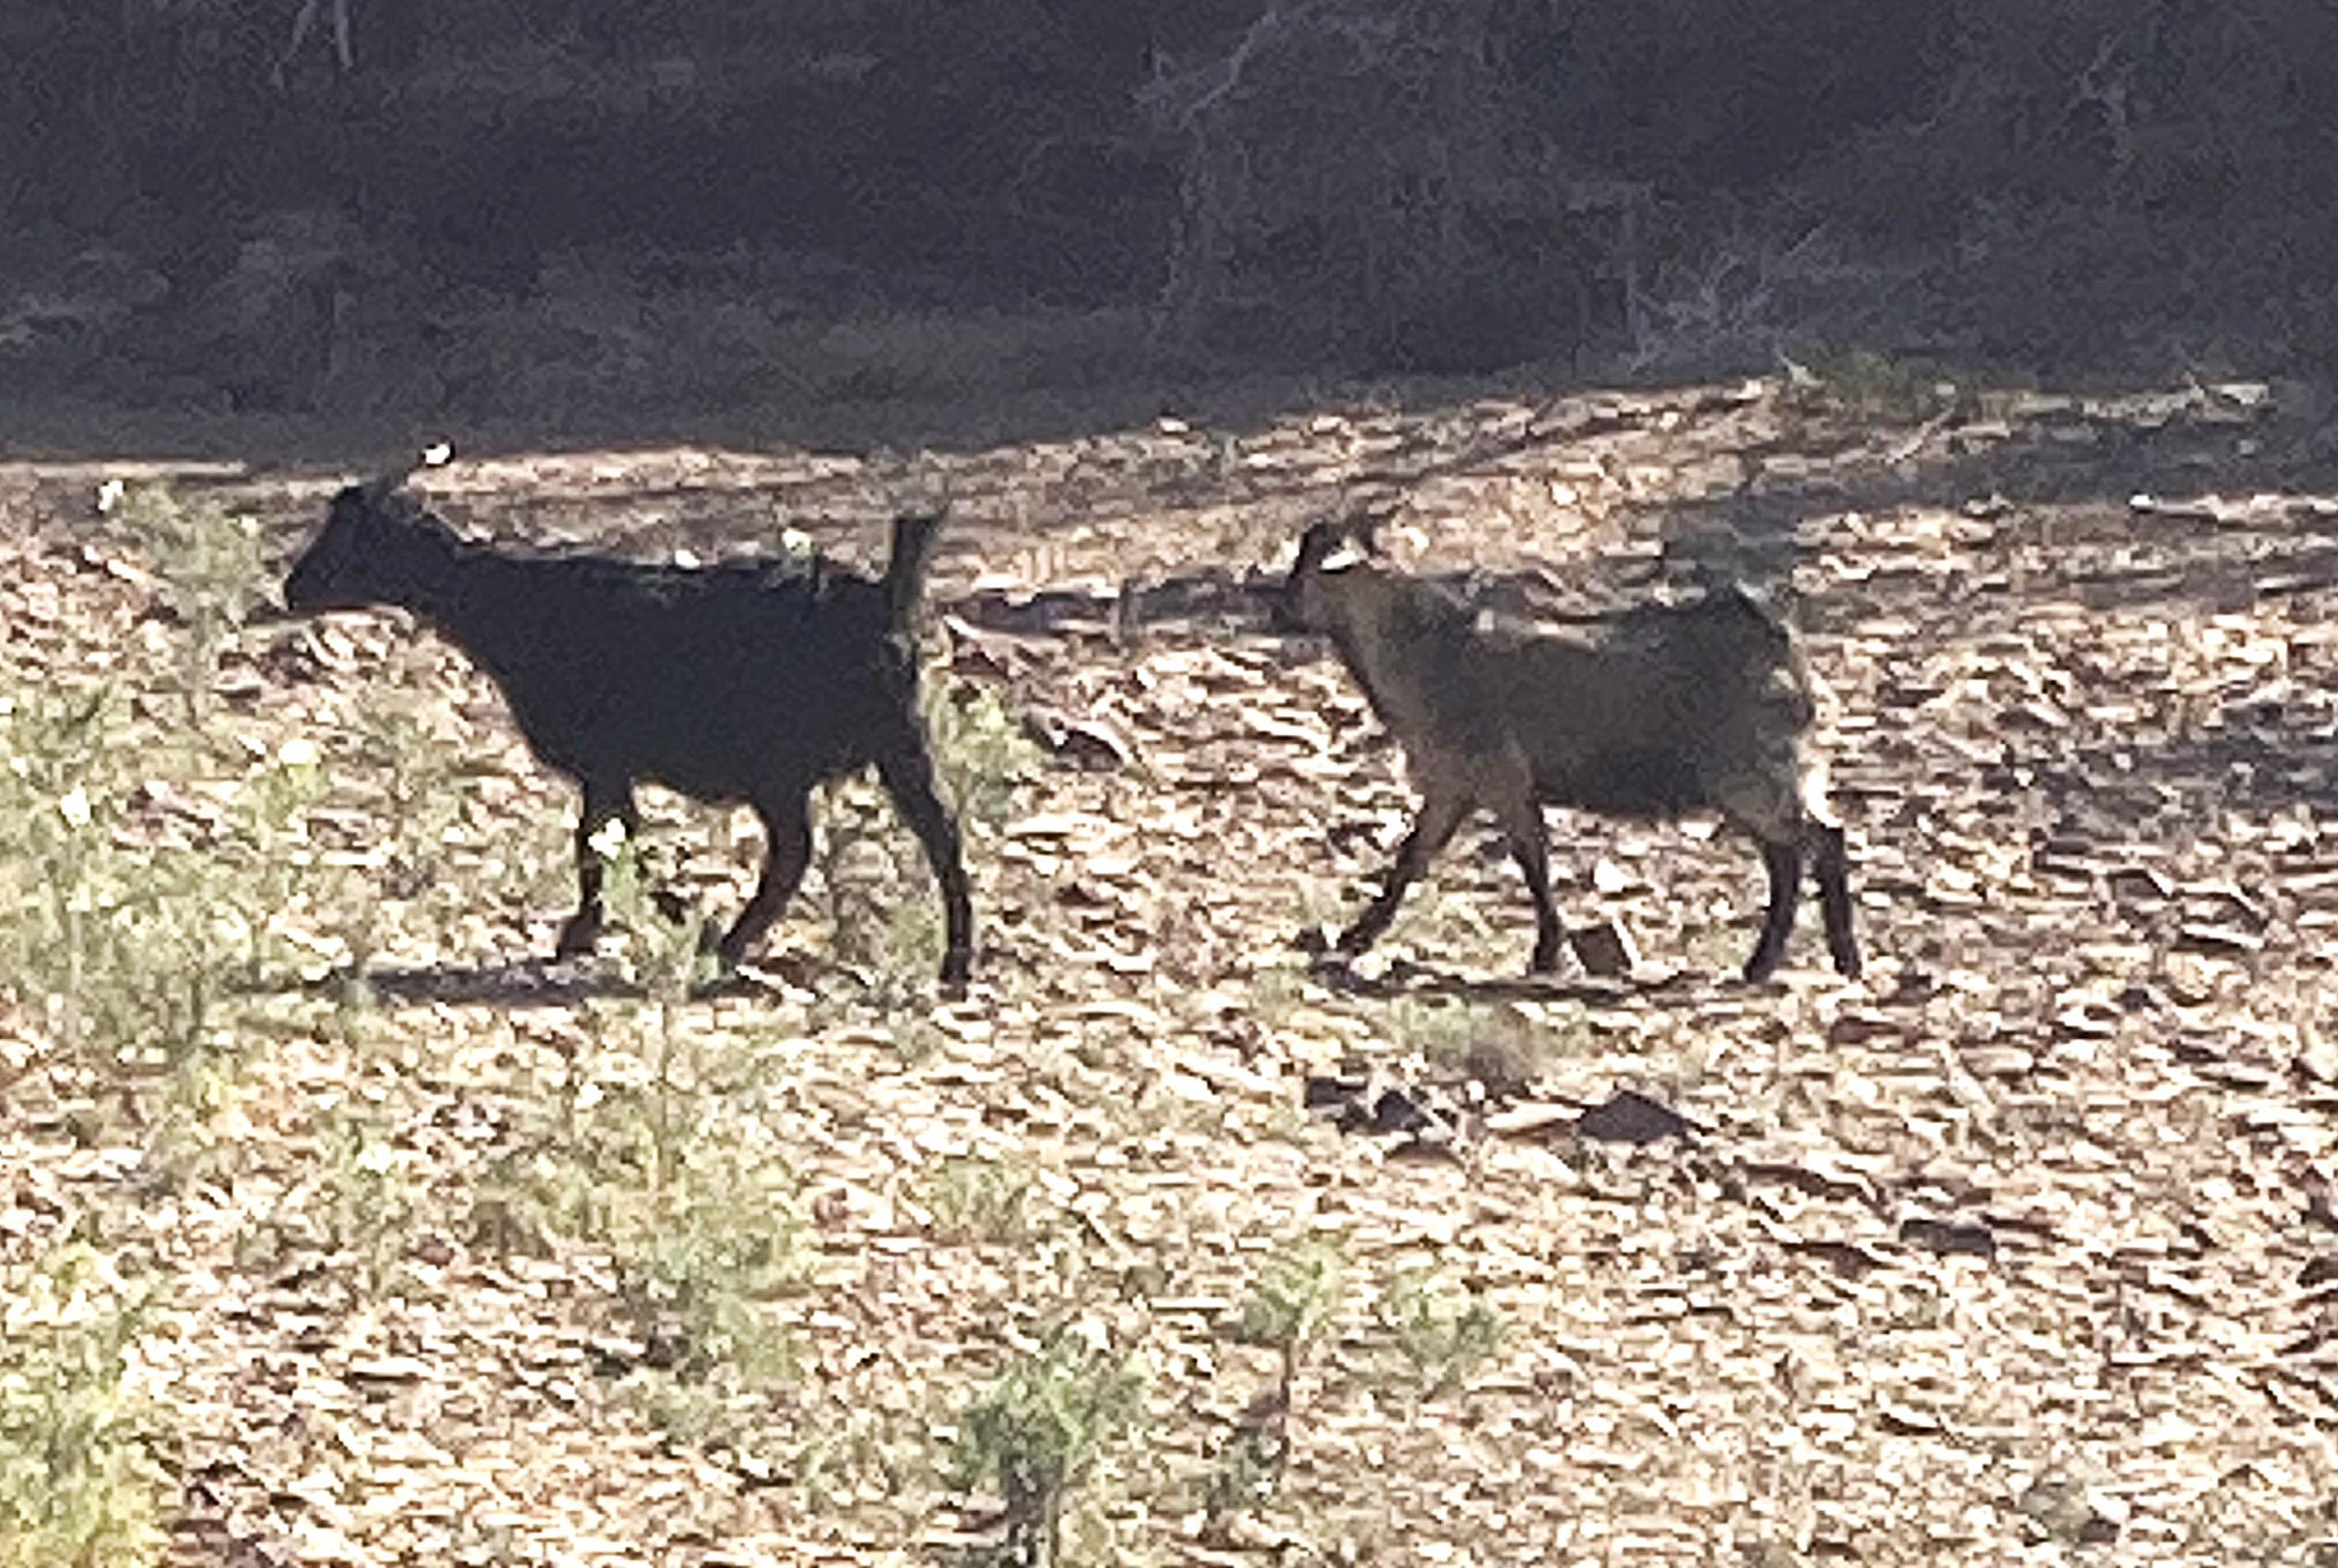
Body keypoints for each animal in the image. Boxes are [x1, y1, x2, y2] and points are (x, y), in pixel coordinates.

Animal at [282, 476, 974, 991]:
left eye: (351, 537)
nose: (291, 589)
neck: (509, 605)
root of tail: (885, 596)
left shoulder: (602, 762)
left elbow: (599, 845)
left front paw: (612, 928)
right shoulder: (608, 768)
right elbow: (611, 842)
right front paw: (628, 922)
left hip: (781, 763)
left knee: (799, 852)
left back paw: (725, 948)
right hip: (897, 743)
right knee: (937, 832)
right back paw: (954, 964)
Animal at [1281, 516, 1860, 984]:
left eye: (1308, 569)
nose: (1276, 609)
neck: (1420, 650)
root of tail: (1778, 642)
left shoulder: (1497, 779)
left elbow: (1530, 861)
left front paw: (1546, 954)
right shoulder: (1454, 786)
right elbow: (1414, 856)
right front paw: (1357, 935)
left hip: (1750, 773)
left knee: (1819, 840)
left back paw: (1832, 960)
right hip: (1764, 776)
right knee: (1790, 855)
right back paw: (1774, 962)